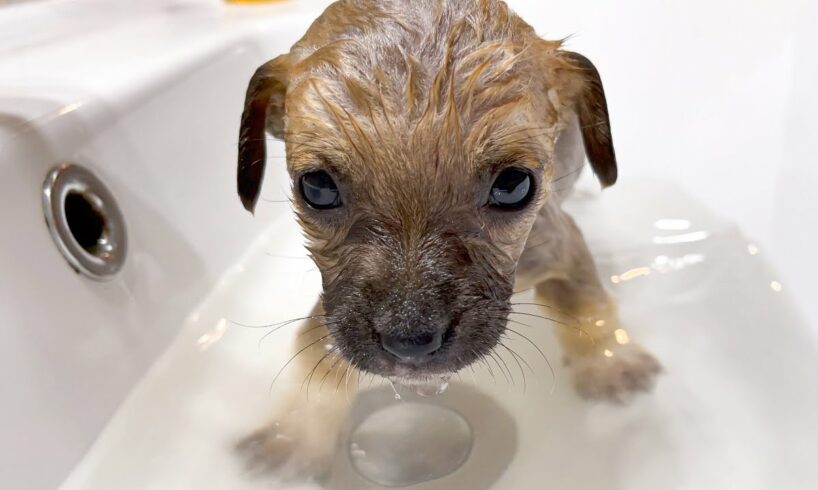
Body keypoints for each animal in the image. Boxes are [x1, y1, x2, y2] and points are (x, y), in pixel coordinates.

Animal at [233, 0, 660, 476]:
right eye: (317, 187)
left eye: (514, 184)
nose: (409, 340)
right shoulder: (333, 316)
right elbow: (316, 362)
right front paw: (295, 438)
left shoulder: (559, 247)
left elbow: (589, 307)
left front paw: (611, 364)